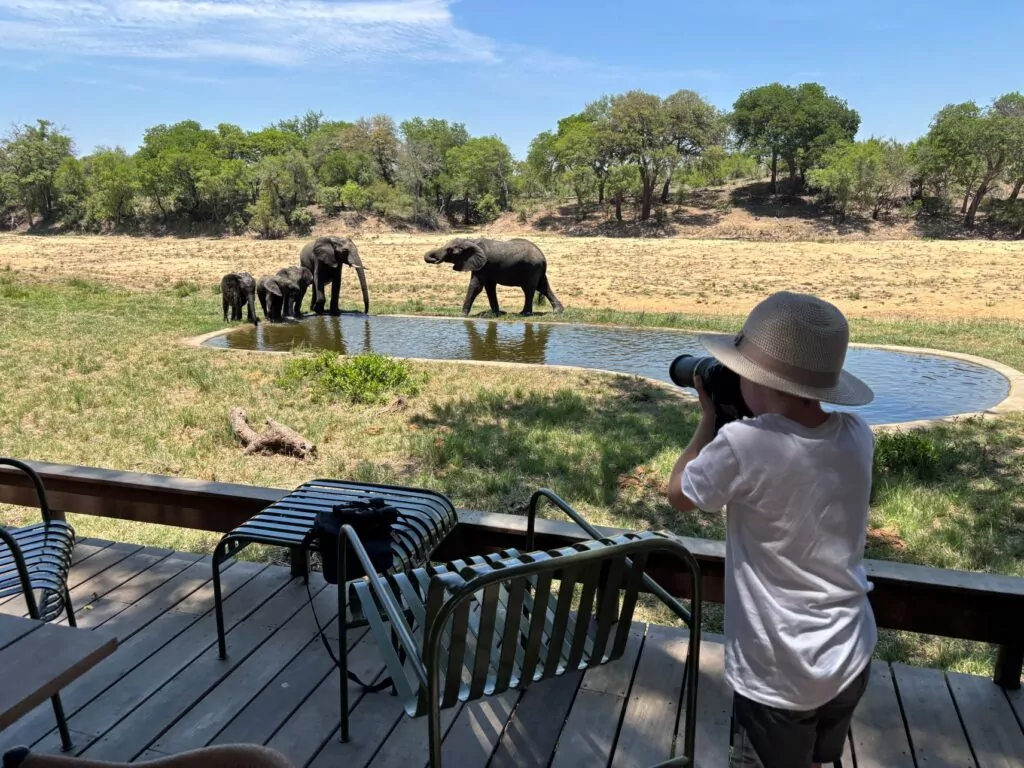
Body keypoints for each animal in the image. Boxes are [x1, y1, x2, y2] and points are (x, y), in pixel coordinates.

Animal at [423, 237, 564, 317]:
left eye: (450, 250)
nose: (435, 259)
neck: (470, 241)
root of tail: (543, 257)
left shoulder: (484, 264)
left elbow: (476, 287)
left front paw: (462, 315)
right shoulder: (484, 266)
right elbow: (489, 288)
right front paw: (496, 313)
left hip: (532, 269)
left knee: (529, 290)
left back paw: (524, 314)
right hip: (537, 270)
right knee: (543, 287)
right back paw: (557, 311)